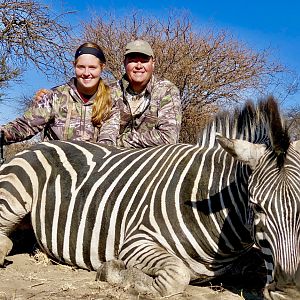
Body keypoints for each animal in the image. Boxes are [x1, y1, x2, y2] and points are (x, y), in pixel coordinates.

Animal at [0, 96, 298, 298]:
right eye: (256, 207)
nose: (289, 290)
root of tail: (42, 143)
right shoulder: (137, 241)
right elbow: (176, 276)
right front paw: (113, 272)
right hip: (14, 192)